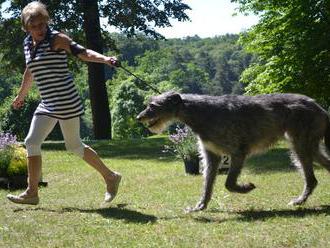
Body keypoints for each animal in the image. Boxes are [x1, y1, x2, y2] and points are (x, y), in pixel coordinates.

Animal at [136, 92, 330, 212]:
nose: (139, 117)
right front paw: (200, 206)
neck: (201, 112)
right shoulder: (212, 156)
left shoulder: (237, 152)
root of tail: (320, 108)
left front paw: (246, 187)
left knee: (311, 178)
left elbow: (229, 183)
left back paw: (299, 200)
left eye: (152, 105)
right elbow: (207, 184)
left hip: (301, 144)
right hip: (309, 146)